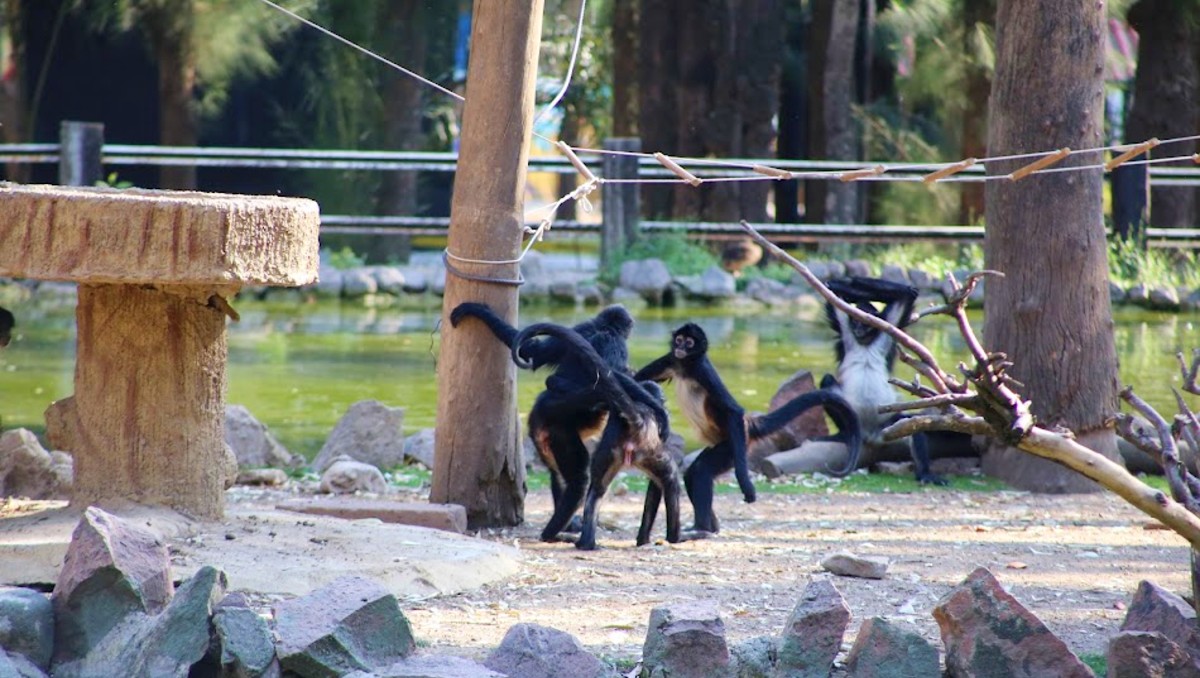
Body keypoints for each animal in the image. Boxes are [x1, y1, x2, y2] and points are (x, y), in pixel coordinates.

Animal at [449, 302, 653, 541]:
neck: (602, 328)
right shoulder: (614, 344)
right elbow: (607, 380)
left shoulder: (579, 329)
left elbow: (532, 350)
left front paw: (475, 310)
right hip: (562, 431)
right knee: (578, 480)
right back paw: (552, 532)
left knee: (558, 475)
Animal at [511, 322, 686, 549]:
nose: (662, 400)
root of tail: (637, 420)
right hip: (647, 451)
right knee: (670, 478)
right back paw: (673, 538)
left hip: (604, 454)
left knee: (594, 488)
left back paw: (583, 542)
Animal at [635, 322, 864, 534]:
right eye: (679, 340)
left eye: (689, 343)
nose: (680, 347)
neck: (686, 366)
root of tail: (748, 425)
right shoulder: (672, 359)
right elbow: (637, 379)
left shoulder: (702, 371)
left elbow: (733, 411)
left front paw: (745, 482)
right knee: (693, 473)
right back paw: (710, 527)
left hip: (733, 446)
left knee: (701, 469)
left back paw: (702, 528)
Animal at [821, 276, 947, 485]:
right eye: (855, 322)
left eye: (864, 324)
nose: (857, 329)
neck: (865, 342)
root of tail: (869, 433)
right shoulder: (845, 327)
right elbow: (832, 292)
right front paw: (842, 283)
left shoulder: (888, 327)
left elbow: (907, 293)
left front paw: (847, 283)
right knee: (826, 380)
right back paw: (845, 433)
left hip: (888, 426)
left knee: (912, 425)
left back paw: (924, 473)